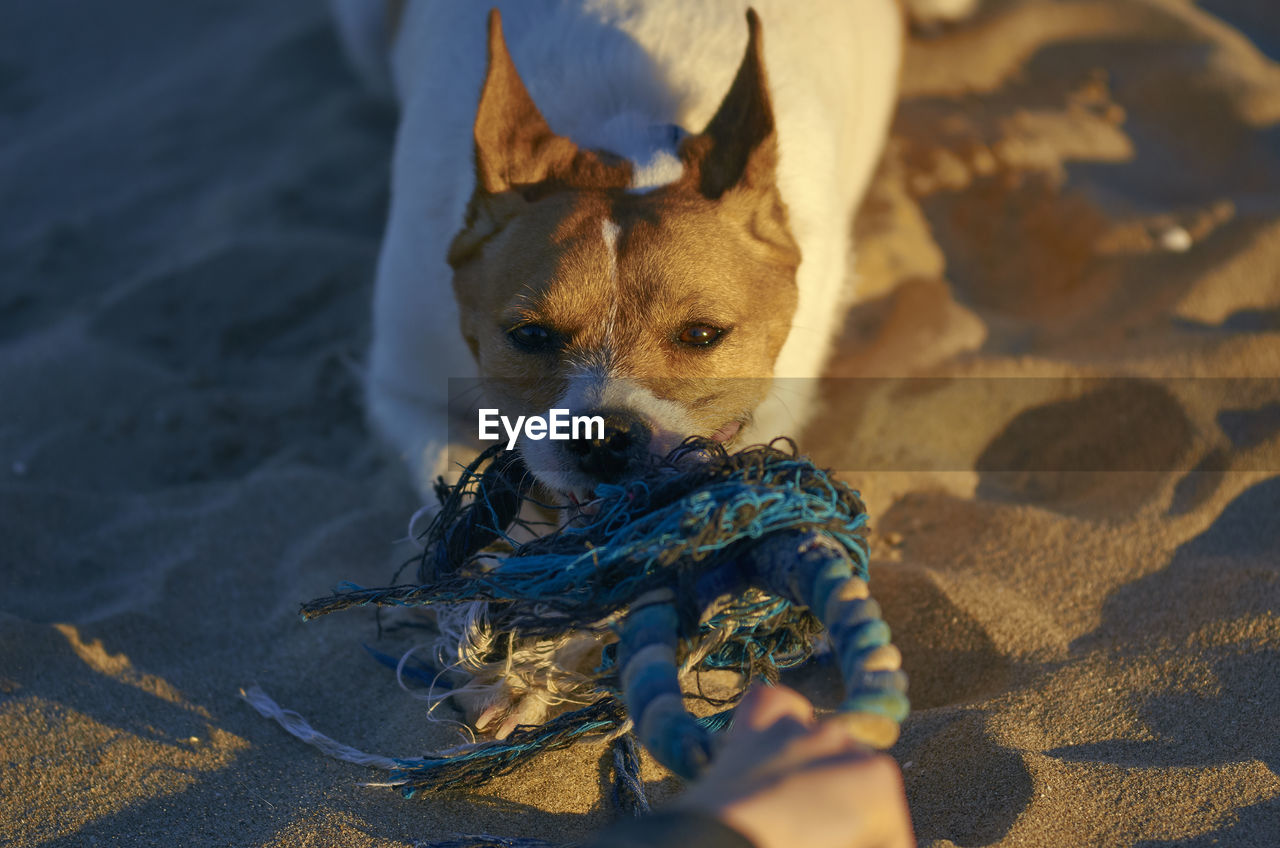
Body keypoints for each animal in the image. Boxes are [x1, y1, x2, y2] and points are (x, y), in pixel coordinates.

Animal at [327, 0, 962, 737]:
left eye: (701, 334)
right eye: (530, 335)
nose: (603, 437)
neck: (624, 140)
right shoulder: (409, 395)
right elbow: (473, 519)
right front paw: (500, 659)